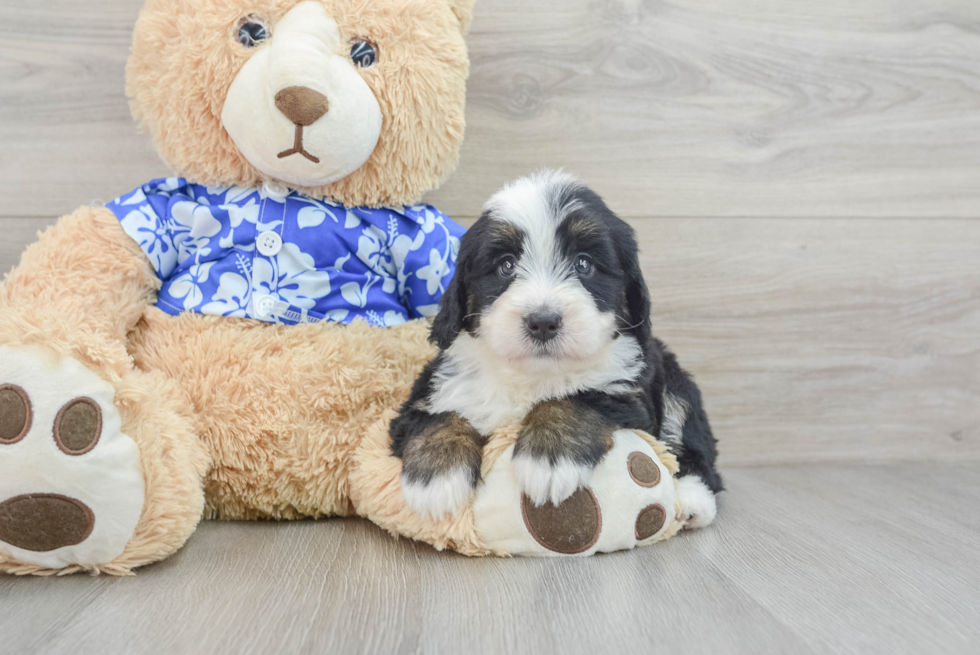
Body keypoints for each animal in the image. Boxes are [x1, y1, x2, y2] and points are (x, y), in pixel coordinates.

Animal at [388, 172, 720, 532]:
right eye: (506, 265)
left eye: (584, 264)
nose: (543, 322)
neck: (534, 374)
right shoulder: (430, 390)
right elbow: (437, 417)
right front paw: (435, 477)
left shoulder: (631, 398)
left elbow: (578, 398)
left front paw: (549, 457)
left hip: (675, 382)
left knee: (694, 450)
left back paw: (693, 502)